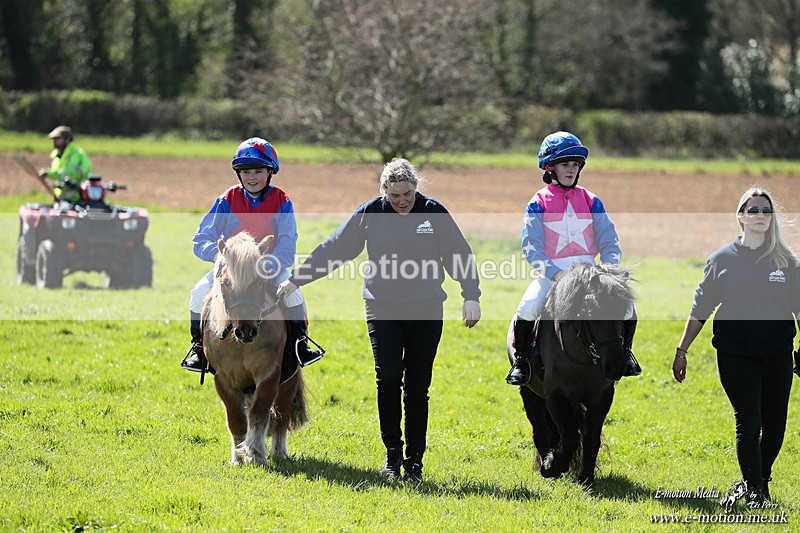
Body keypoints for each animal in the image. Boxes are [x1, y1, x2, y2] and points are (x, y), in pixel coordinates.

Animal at [202, 232, 308, 466]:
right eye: (226, 284)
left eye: (260, 282)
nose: (247, 331)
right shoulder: (223, 379)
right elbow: (236, 419)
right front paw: (239, 457)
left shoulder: (269, 374)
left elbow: (259, 413)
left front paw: (257, 453)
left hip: (289, 379)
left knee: (282, 413)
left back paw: (279, 451)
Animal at [507, 262, 634, 488]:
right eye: (592, 313)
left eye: (622, 314)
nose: (616, 367)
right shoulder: (557, 396)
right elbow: (570, 438)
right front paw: (551, 466)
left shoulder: (602, 398)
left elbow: (590, 438)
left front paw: (586, 480)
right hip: (530, 392)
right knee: (542, 430)